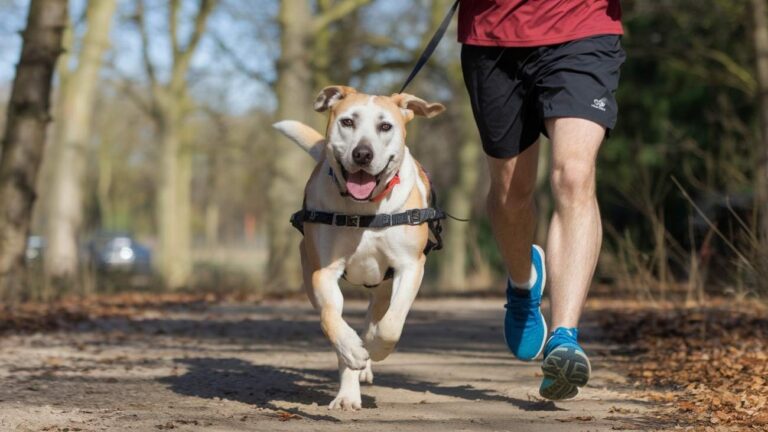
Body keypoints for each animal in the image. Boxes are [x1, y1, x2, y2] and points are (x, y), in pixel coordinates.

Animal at [274, 86, 444, 410]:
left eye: (385, 126)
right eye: (348, 122)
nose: (363, 154)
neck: (364, 210)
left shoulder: (410, 266)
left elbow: (391, 324)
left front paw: (375, 347)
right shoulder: (323, 272)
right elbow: (331, 317)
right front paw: (354, 351)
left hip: (383, 288)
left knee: (376, 315)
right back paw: (348, 391)